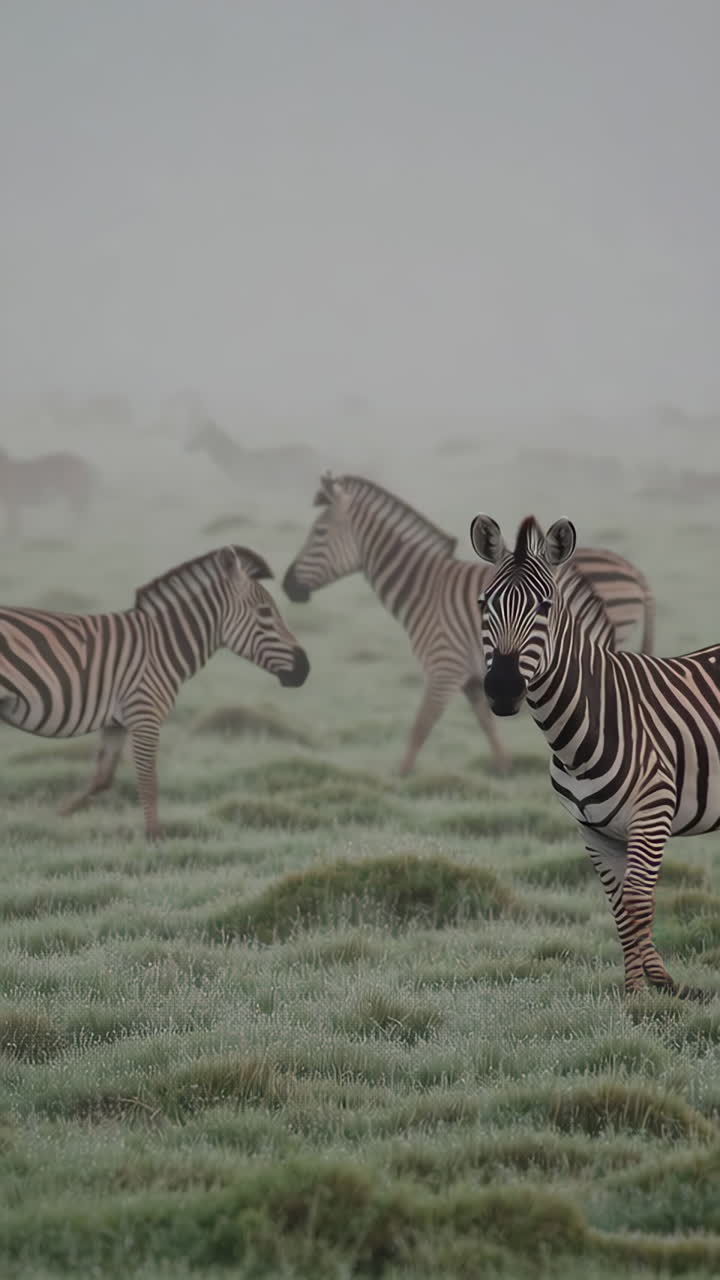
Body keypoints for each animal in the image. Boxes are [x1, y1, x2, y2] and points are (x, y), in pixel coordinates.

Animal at [0, 545, 309, 838]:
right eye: (265, 612)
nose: (304, 669)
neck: (162, 645)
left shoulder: (117, 723)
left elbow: (103, 778)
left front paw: (55, 815)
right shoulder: (145, 713)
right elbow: (148, 780)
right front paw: (155, 840)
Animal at [282, 472, 655, 775]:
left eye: (319, 533)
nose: (288, 586)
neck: (425, 588)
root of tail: (634, 570)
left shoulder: (443, 666)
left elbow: (420, 728)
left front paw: (399, 780)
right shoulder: (474, 680)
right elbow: (488, 726)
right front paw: (504, 773)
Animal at [469, 511, 717, 999]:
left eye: (545, 607)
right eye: (485, 603)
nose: (502, 689)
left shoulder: (652, 814)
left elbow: (638, 902)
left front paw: (643, 998)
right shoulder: (593, 831)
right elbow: (619, 908)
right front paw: (637, 991)